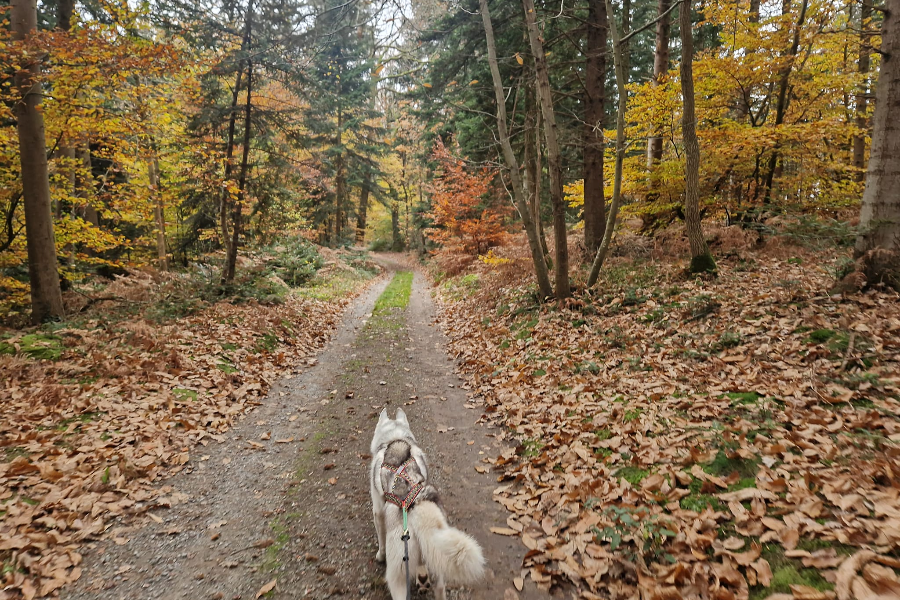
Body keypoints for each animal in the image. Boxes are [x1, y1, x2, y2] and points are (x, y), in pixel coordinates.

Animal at [370, 408, 486, 600]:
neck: (394, 438)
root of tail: (418, 507)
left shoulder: (378, 510)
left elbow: (380, 538)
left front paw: (380, 555)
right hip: (435, 561)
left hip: (398, 575)